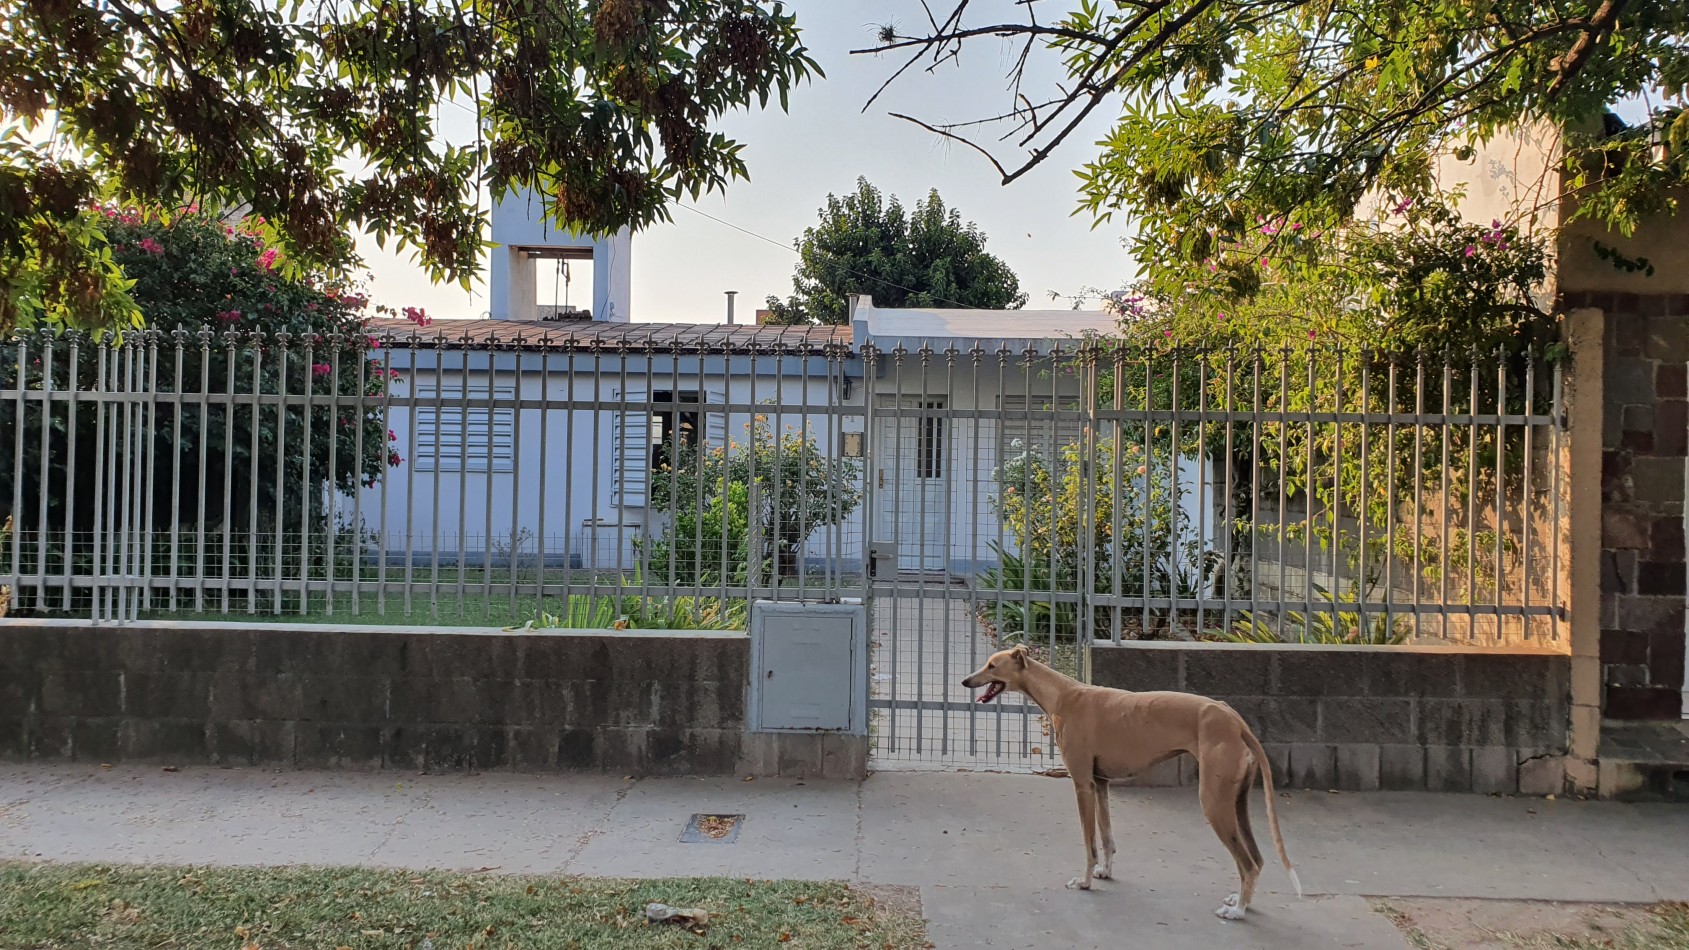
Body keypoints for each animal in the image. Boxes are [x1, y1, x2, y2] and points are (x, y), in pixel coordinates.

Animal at [959, 642, 1297, 919]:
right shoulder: (1101, 784)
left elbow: (1089, 844)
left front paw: (1084, 881)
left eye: (992, 665)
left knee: (1247, 863)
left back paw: (1237, 911)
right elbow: (1107, 838)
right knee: (1257, 860)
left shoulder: (1082, 785)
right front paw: (1104, 872)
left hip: (1214, 803)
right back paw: (1242, 902)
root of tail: (1235, 720)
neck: (1063, 694)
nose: (965, 681)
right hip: (1236, 803)